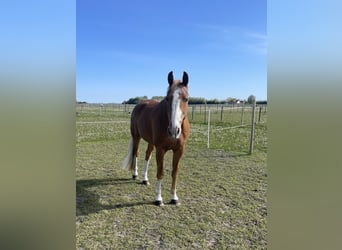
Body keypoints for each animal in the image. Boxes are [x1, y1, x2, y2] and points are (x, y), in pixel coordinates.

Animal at [121, 71, 190, 206]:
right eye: (167, 98)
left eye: (186, 99)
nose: (173, 130)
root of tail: (139, 105)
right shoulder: (160, 149)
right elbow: (160, 172)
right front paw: (158, 198)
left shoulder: (179, 150)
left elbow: (174, 172)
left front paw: (174, 197)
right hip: (136, 137)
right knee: (136, 153)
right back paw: (135, 174)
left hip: (151, 142)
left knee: (147, 155)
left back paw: (145, 179)